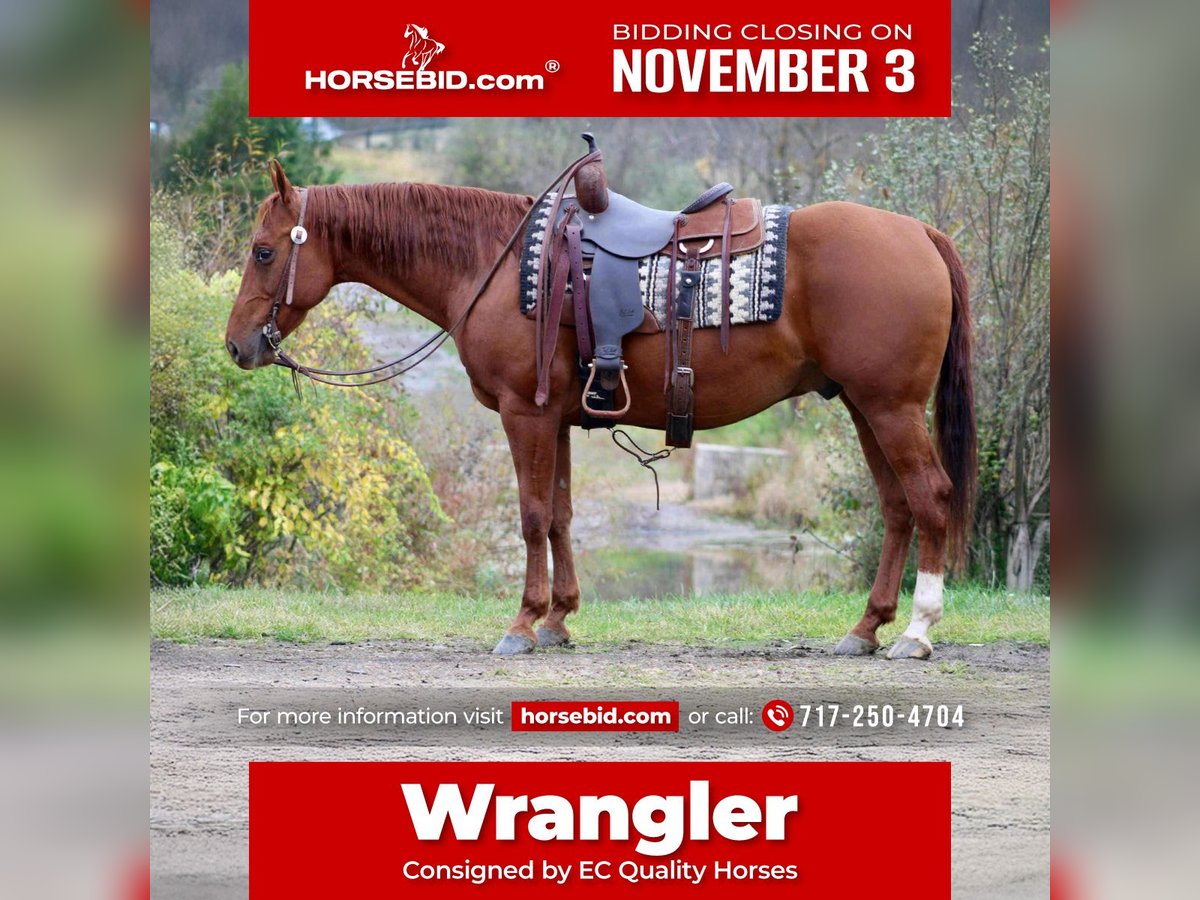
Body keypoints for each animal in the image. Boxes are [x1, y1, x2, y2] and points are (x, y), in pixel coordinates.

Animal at [225, 160, 976, 660]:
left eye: (263, 251)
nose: (236, 344)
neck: (492, 266)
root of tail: (920, 233)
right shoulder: (554, 418)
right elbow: (559, 515)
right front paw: (559, 619)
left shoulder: (523, 415)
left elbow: (531, 517)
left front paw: (523, 624)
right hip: (864, 407)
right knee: (899, 506)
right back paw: (866, 628)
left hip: (891, 408)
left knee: (931, 496)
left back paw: (916, 631)